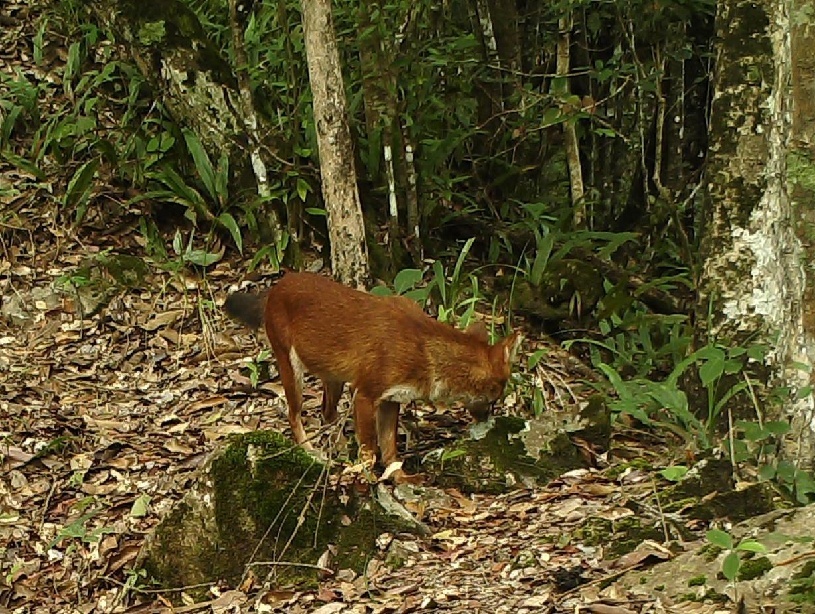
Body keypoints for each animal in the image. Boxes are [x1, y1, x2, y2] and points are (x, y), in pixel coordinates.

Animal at [225, 272, 516, 484]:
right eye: (494, 399)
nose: (489, 423)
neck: (423, 349)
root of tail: (277, 285)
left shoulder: (391, 399)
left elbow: (389, 448)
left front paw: (400, 477)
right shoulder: (365, 393)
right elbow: (371, 448)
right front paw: (363, 472)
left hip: (335, 377)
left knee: (326, 412)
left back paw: (339, 447)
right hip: (291, 368)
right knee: (294, 415)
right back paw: (313, 453)